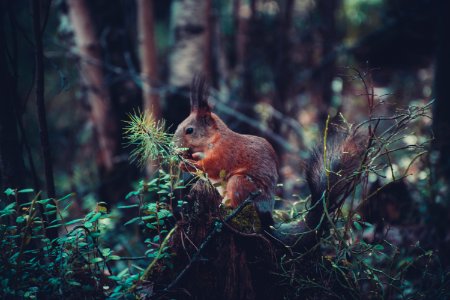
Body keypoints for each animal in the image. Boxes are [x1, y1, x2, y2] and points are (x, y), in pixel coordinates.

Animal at [173, 77, 276, 225]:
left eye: (189, 130)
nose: (173, 146)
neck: (214, 139)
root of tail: (267, 208)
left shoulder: (225, 153)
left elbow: (211, 166)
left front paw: (188, 164)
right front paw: (188, 159)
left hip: (240, 183)